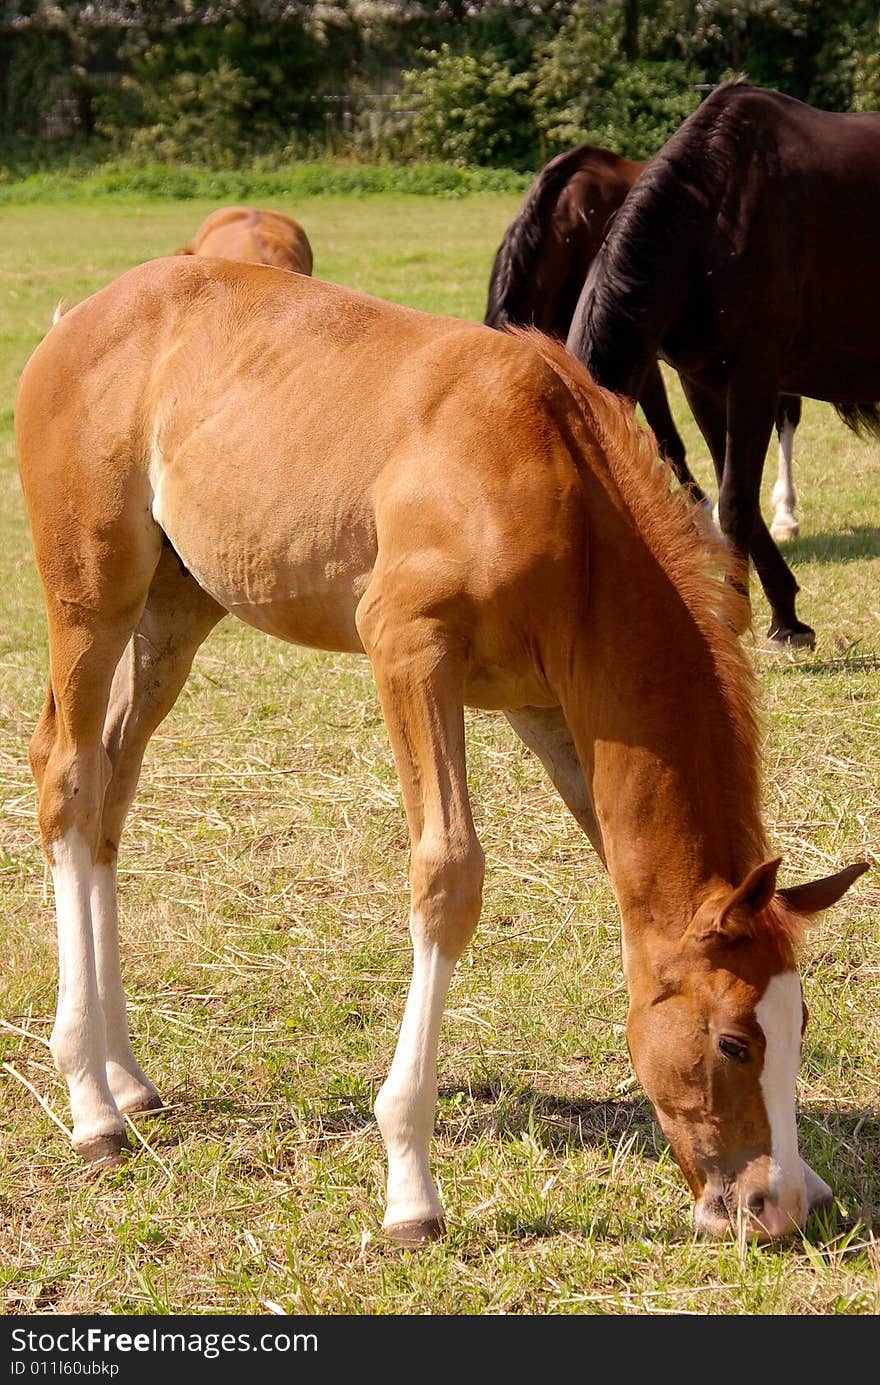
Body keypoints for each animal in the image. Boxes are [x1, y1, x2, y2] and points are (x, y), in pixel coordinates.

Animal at [15, 257, 870, 1246]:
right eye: (733, 1039)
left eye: (801, 1022)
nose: (782, 1205)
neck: (559, 484)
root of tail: (77, 319)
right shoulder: (408, 649)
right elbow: (448, 874)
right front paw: (410, 1187)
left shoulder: (550, 711)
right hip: (92, 596)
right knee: (67, 777)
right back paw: (90, 1101)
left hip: (177, 608)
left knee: (111, 789)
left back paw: (126, 1074)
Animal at [565, 82, 880, 648]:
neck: (712, 223)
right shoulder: (702, 382)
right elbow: (736, 495)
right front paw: (785, 615)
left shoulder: (754, 379)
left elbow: (736, 501)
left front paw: (735, 618)